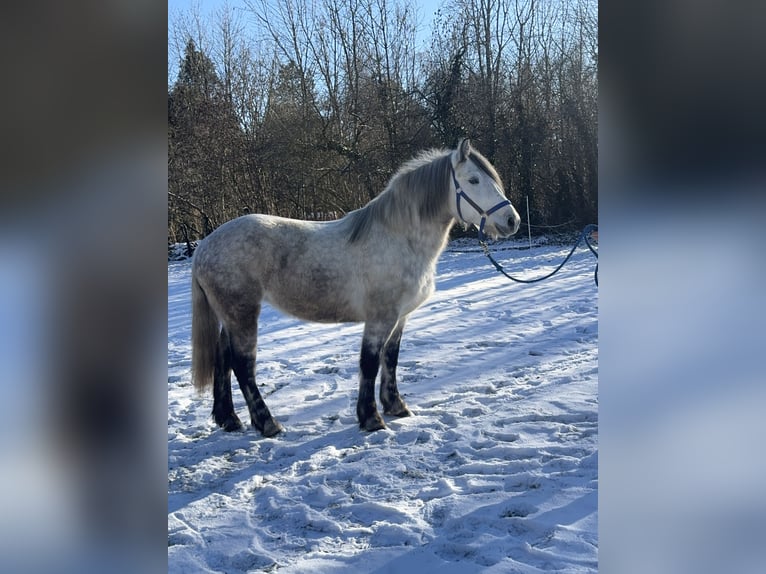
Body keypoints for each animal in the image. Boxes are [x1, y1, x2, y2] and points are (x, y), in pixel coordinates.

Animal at [190, 139, 521, 436]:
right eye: (474, 180)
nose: (512, 220)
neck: (400, 239)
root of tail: (204, 247)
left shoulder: (400, 317)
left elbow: (391, 359)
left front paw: (396, 406)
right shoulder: (380, 318)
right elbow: (370, 363)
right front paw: (371, 419)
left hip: (229, 317)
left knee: (223, 359)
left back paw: (229, 419)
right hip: (243, 315)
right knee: (243, 365)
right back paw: (267, 423)